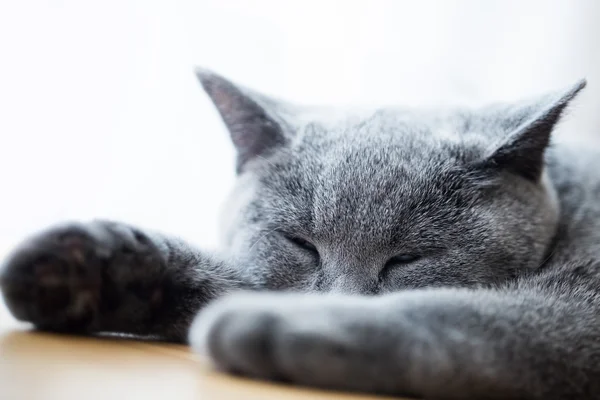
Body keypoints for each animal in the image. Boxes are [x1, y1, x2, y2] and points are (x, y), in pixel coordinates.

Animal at [1, 69, 600, 400]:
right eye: (301, 244)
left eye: (408, 259)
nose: (343, 297)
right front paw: (84, 268)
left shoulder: (580, 305)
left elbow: (457, 314)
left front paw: (271, 325)